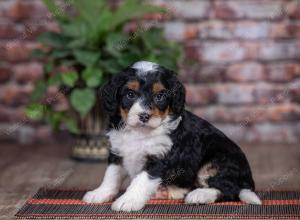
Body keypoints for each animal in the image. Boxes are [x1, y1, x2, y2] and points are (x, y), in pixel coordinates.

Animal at [82, 60, 260, 211]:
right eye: (130, 94)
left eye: (160, 96)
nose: (144, 116)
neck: (140, 132)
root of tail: (249, 181)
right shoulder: (118, 150)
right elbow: (111, 176)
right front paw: (99, 193)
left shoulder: (159, 158)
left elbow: (141, 180)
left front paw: (128, 200)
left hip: (218, 160)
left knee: (230, 189)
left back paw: (200, 195)